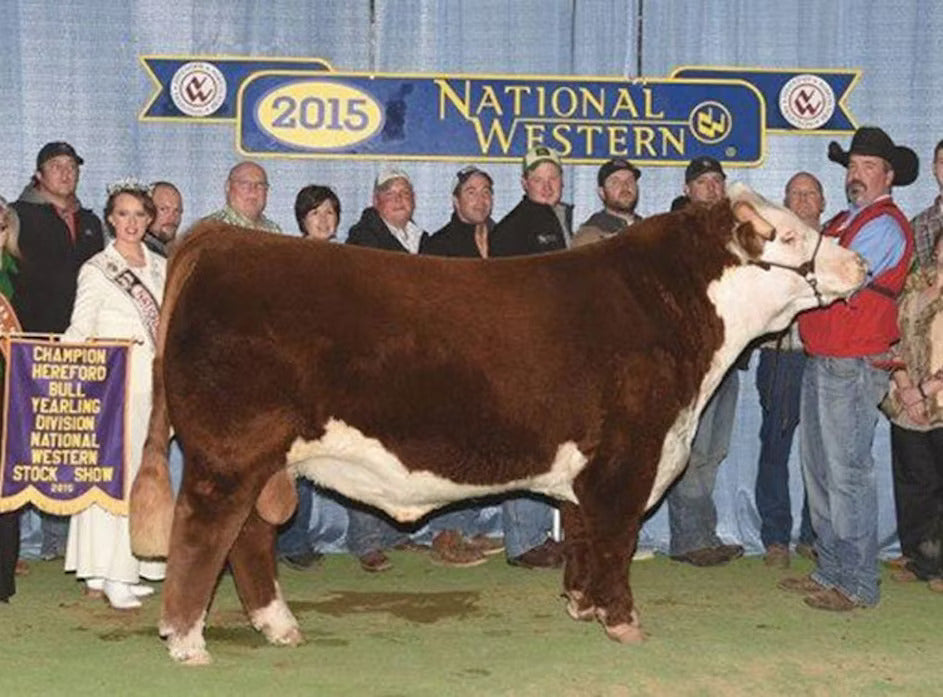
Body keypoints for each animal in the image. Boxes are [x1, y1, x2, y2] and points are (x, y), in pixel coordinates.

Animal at [130, 183, 866, 664]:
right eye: (792, 234)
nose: (857, 262)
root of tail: (223, 237)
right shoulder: (629, 454)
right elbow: (615, 538)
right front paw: (622, 621)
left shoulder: (590, 468)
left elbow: (582, 534)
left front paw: (581, 605)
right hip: (230, 451)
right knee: (205, 529)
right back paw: (187, 640)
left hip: (262, 458)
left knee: (250, 536)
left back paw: (276, 625)